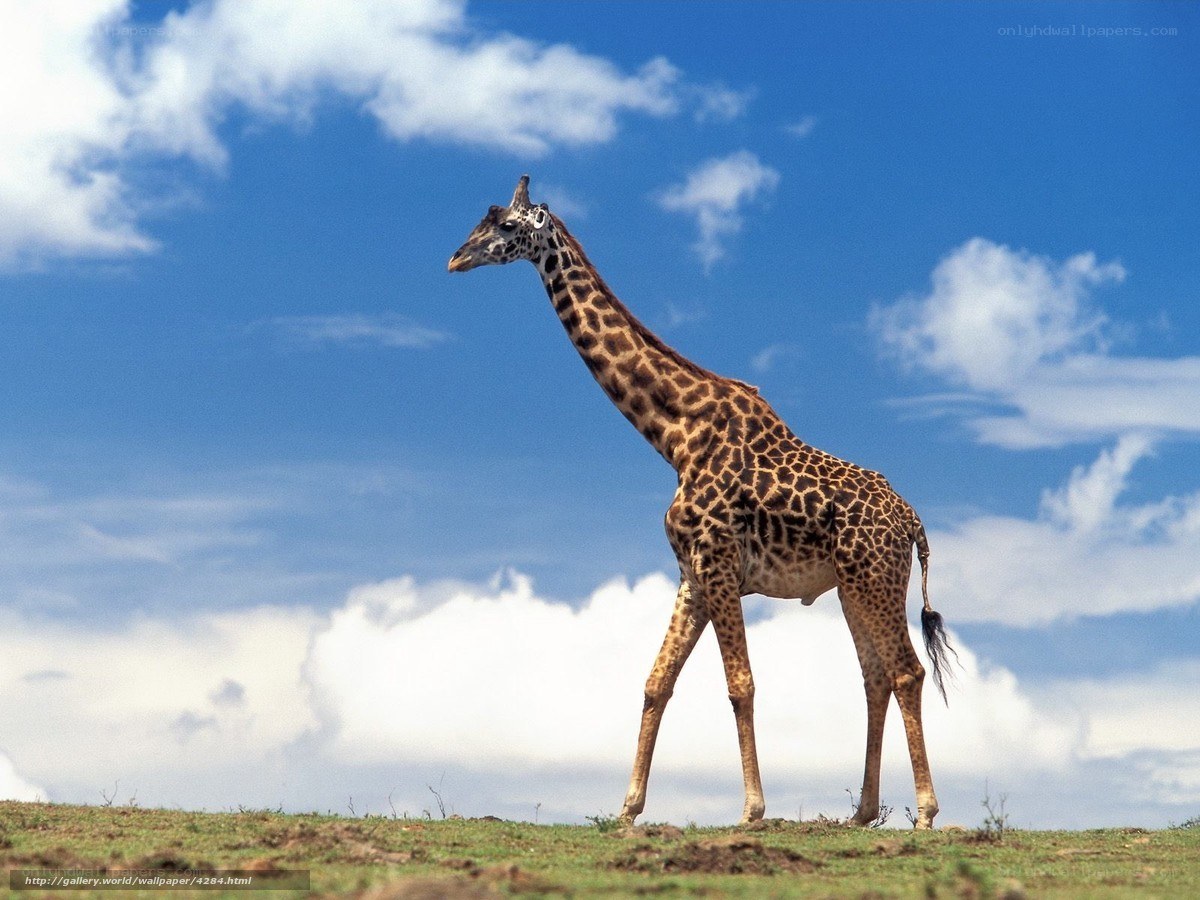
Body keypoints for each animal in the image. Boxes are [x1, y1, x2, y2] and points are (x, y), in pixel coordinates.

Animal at [448, 176, 956, 829]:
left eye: (507, 225)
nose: (456, 258)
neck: (673, 435)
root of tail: (914, 522)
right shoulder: (692, 573)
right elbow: (655, 682)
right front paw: (628, 809)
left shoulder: (718, 562)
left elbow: (740, 683)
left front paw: (752, 810)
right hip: (853, 585)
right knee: (875, 677)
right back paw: (863, 813)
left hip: (874, 578)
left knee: (906, 671)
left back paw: (925, 813)